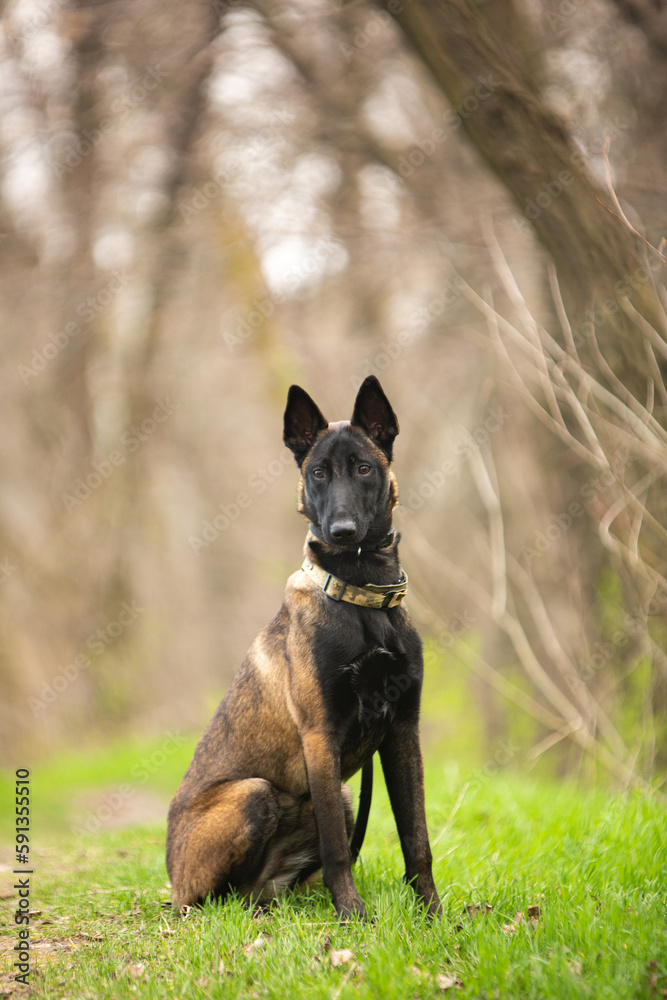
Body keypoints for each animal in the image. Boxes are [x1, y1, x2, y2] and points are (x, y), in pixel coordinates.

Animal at [166, 376, 444, 920]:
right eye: (318, 472)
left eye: (363, 468)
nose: (341, 532)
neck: (361, 595)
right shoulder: (320, 736)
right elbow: (338, 847)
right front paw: (351, 914)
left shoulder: (402, 730)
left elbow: (416, 837)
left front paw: (432, 914)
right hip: (255, 795)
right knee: (209, 899)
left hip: (342, 797)